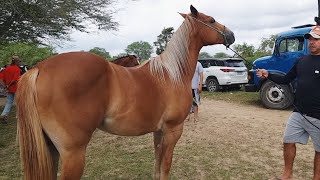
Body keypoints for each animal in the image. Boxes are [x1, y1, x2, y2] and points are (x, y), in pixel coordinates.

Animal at [16, 4, 234, 179]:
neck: (172, 74)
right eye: (211, 20)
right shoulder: (173, 130)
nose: (231, 35)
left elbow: (157, 164)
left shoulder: (158, 131)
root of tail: (39, 68)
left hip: (50, 150)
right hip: (73, 153)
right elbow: (165, 166)